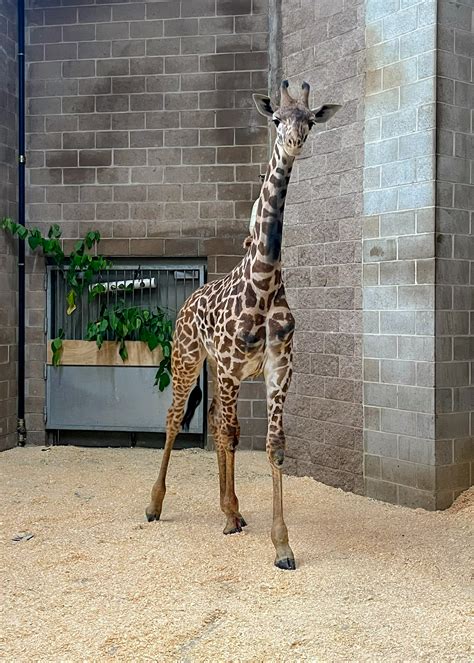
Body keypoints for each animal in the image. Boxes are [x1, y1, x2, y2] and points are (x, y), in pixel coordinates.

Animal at [146, 80, 341, 570]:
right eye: (276, 119)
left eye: (310, 120)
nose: (293, 142)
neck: (265, 279)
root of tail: (186, 303)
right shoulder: (235, 366)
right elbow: (231, 436)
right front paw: (236, 519)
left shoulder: (278, 368)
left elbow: (273, 445)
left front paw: (281, 545)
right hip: (187, 358)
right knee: (177, 419)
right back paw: (155, 505)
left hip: (215, 369)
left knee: (217, 419)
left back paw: (229, 507)